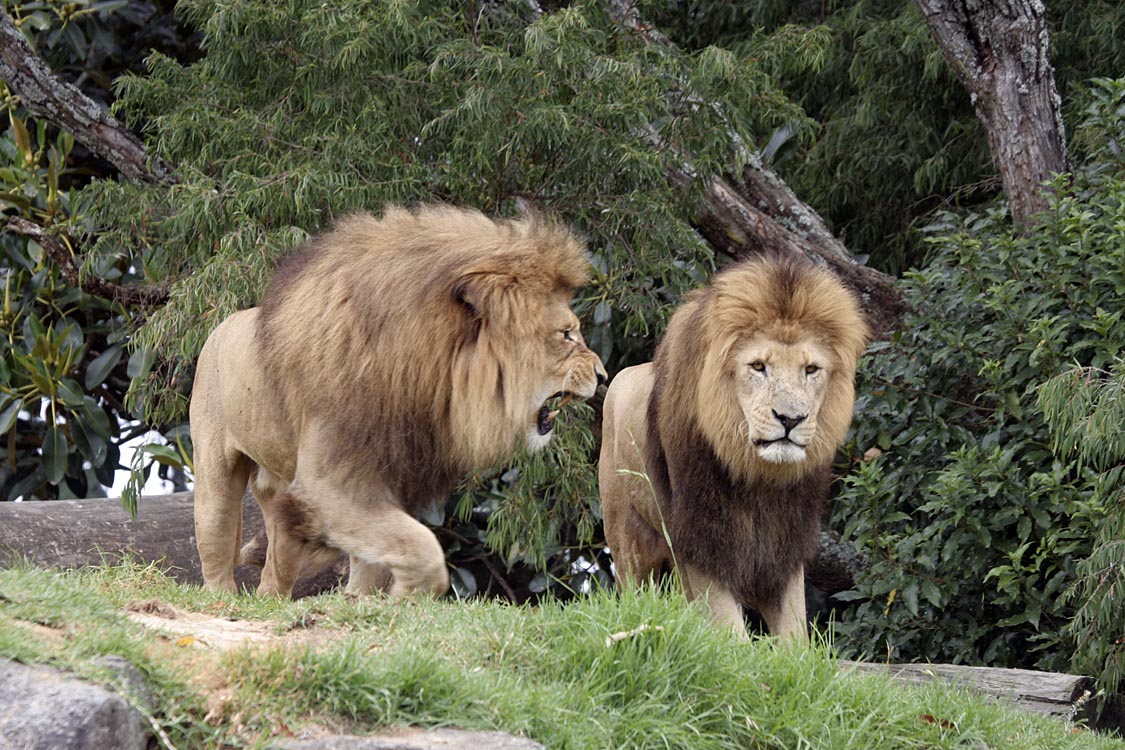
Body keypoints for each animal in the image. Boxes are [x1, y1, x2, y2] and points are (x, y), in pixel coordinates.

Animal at [190, 205, 607, 599]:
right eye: (567, 334)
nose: (603, 376)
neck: (425, 372)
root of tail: (221, 325)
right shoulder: (329, 480)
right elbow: (420, 544)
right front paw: (408, 594)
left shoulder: (391, 471)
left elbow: (377, 559)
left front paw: (361, 601)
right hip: (214, 475)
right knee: (216, 544)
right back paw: (223, 597)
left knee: (277, 563)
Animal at [599, 253, 868, 642]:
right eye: (758, 366)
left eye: (811, 369)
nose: (790, 419)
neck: (758, 479)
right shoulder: (701, 541)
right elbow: (730, 630)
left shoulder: (784, 549)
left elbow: (795, 636)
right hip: (627, 537)